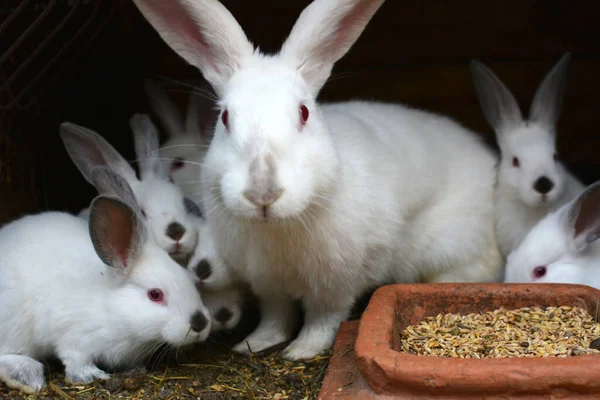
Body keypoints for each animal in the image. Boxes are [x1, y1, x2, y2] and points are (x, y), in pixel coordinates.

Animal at [0, 166, 211, 394]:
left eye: (188, 278)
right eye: (155, 294)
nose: (200, 323)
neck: (111, 306)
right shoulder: (72, 336)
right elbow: (75, 359)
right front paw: (90, 375)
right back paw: (28, 376)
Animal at [134, 0, 504, 360]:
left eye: (304, 112)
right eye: (225, 118)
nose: (263, 193)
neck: (278, 228)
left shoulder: (336, 283)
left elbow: (323, 319)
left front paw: (301, 351)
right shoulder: (268, 284)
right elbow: (276, 315)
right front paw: (255, 343)